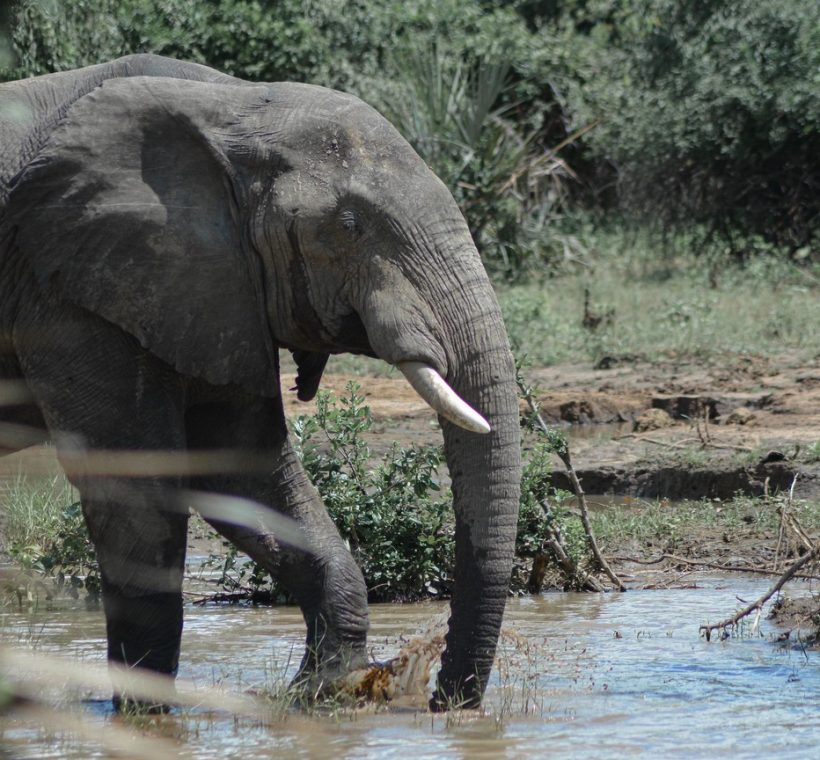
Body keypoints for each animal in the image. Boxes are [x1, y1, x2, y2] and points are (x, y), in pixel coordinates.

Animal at [0, 54, 521, 710]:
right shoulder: (67, 291)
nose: (442, 701)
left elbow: (242, 466)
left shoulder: (210, 286)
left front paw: (328, 689)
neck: (235, 108)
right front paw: (145, 715)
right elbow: (136, 488)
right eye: (349, 225)